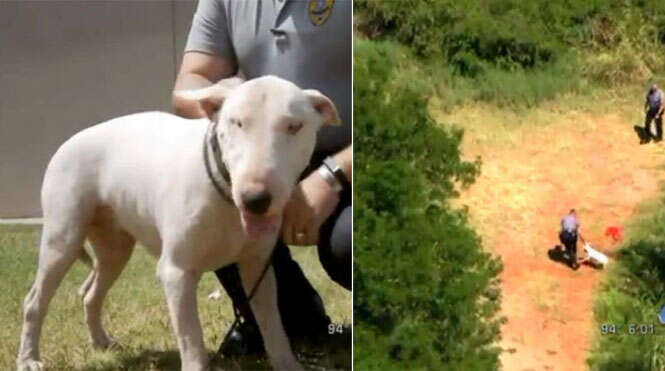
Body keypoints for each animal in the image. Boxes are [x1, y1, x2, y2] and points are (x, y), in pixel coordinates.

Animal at [16, 75, 338, 371]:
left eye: (294, 126)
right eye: (236, 123)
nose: (255, 200)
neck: (223, 189)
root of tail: (70, 140)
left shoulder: (257, 266)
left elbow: (273, 325)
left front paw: (287, 364)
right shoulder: (177, 273)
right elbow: (191, 341)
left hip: (114, 248)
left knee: (91, 293)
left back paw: (101, 342)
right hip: (63, 239)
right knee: (35, 301)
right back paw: (29, 359)